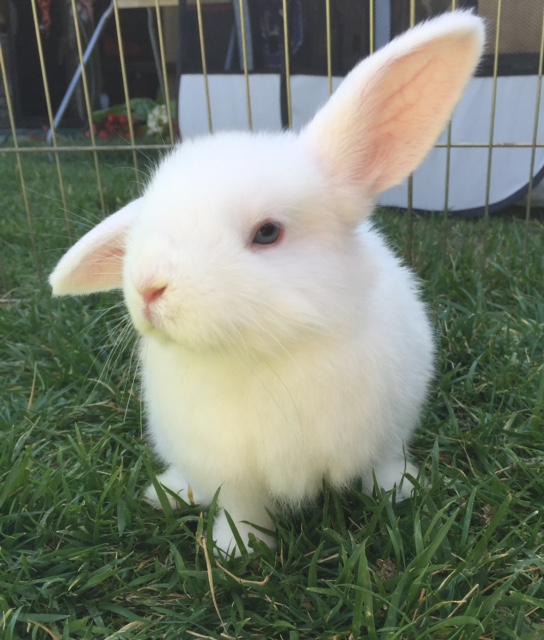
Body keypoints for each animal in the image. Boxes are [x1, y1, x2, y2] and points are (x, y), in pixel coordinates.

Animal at [50, 11, 484, 555]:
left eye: (268, 232)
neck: (263, 353)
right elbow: (242, 507)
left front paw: (400, 491)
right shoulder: (231, 468)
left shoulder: (387, 429)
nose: (148, 288)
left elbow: (382, 463)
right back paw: (167, 492)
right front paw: (237, 550)